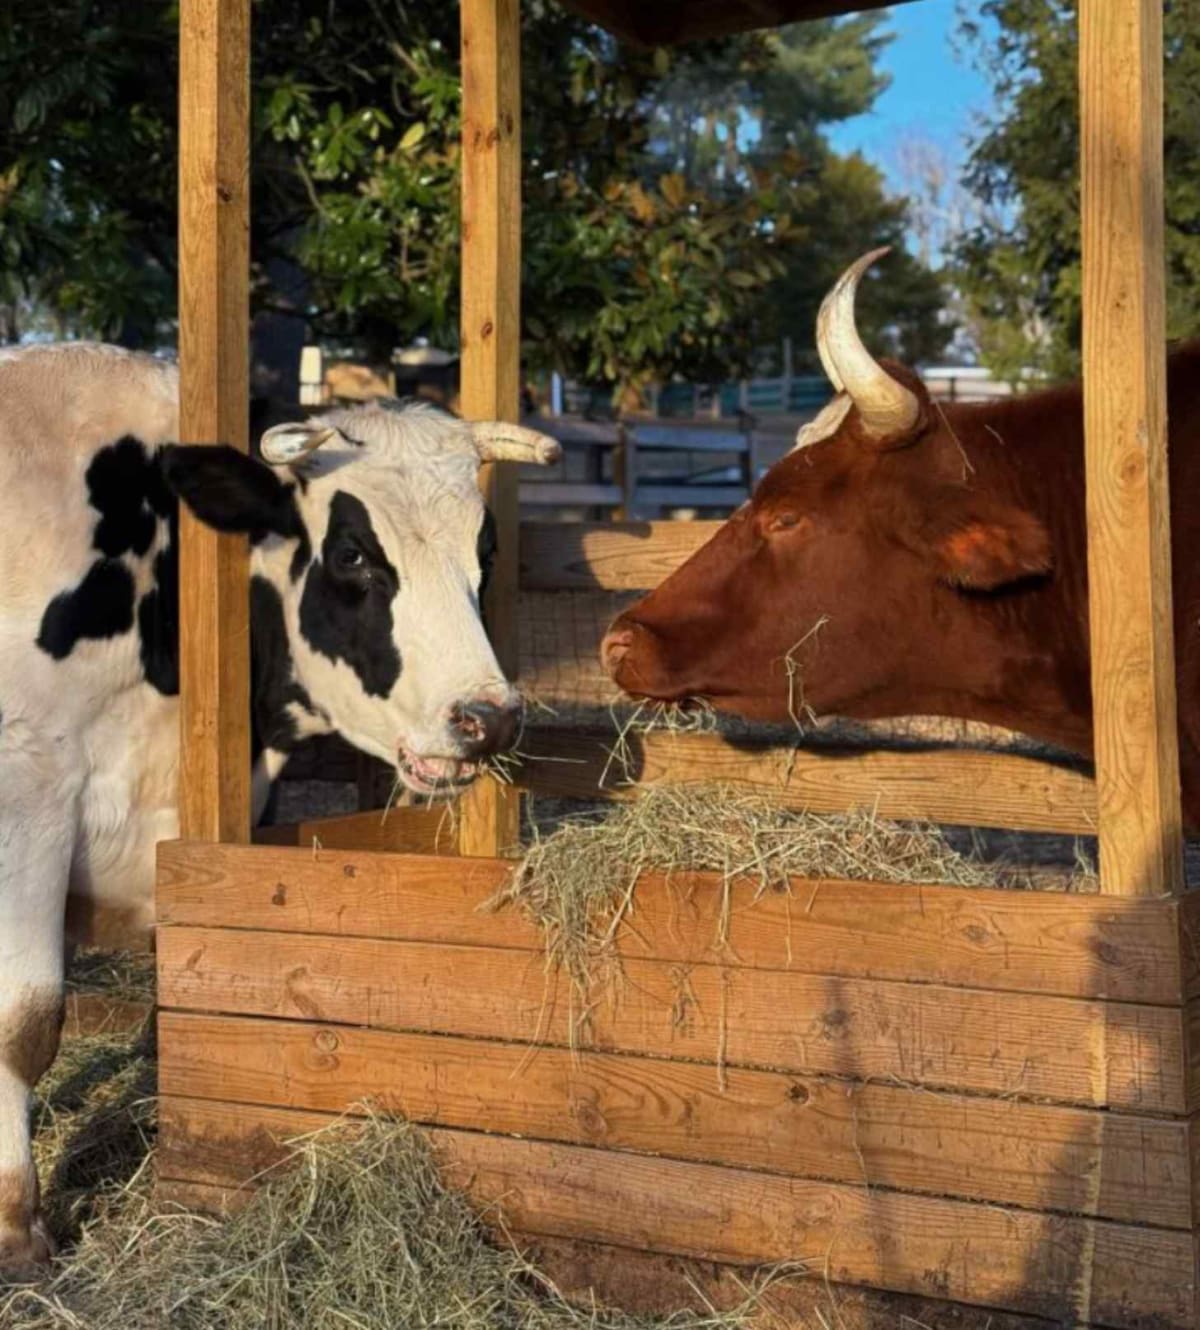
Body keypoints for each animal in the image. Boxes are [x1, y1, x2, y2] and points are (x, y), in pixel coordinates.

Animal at [0, 341, 559, 1271]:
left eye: (482, 546)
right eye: (353, 555)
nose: (490, 718)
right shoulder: (28, 789)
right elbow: (27, 1023)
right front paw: (18, 1226)